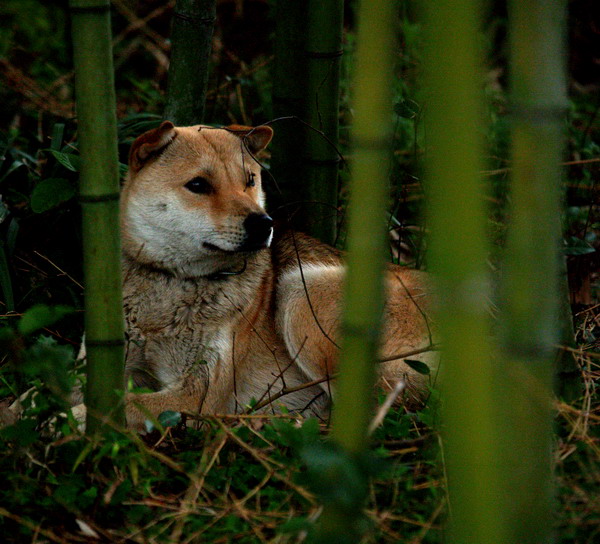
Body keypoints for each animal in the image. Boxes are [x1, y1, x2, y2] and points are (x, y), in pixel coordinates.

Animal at [108, 122, 436, 430]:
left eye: (250, 181)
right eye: (198, 184)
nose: (263, 223)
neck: (171, 281)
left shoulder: (196, 395)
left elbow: (125, 405)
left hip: (301, 293)